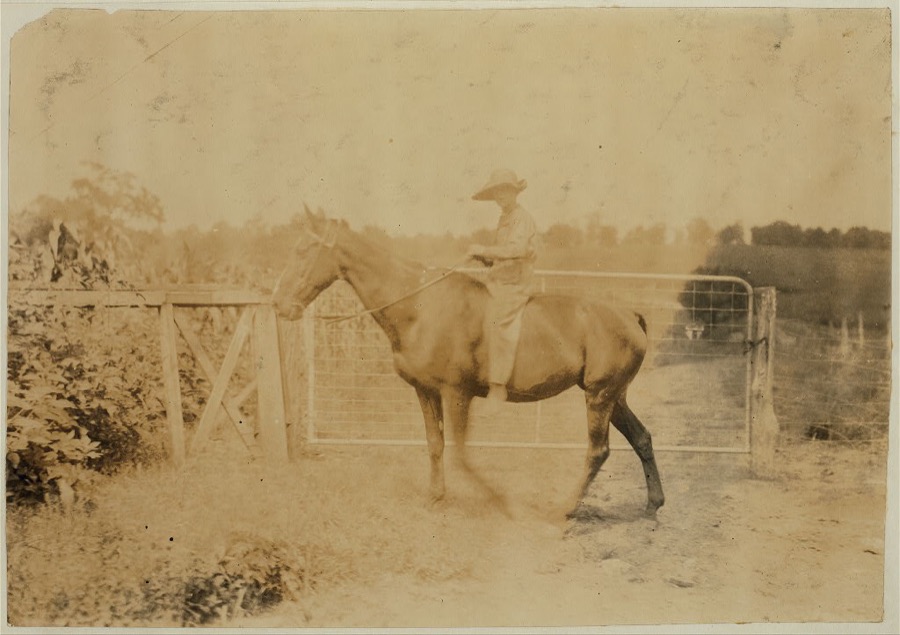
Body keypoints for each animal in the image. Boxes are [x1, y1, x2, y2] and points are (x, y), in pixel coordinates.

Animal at [273, 208, 665, 518]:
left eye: (304, 249)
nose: (279, 303)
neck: (420, 309)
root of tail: (629, 315)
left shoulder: (456, 394)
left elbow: (461, 455)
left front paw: (502, 501)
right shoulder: (427, 392)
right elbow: (436, 445)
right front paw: (435, 497)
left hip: (599, 397)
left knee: (598, 451)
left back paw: (566, 508)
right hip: (614, 397)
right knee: (641, 437)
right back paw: (653, 504)